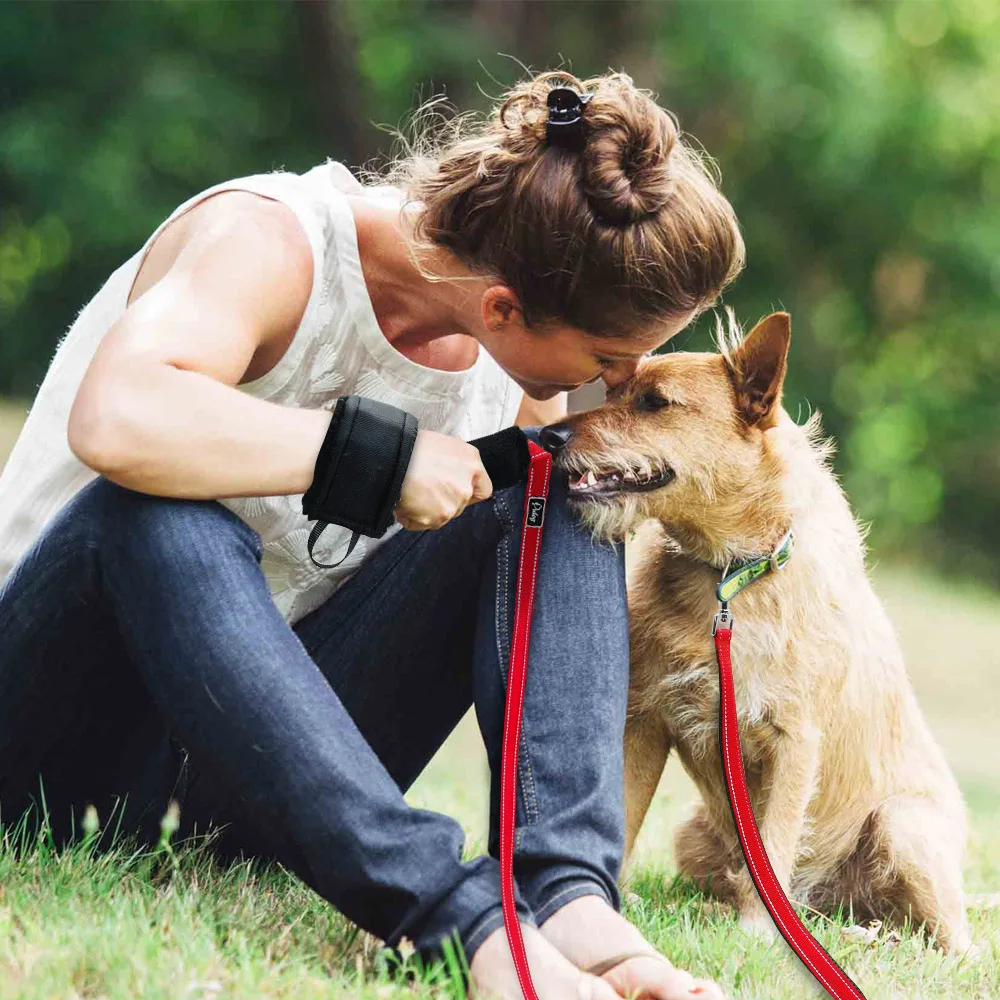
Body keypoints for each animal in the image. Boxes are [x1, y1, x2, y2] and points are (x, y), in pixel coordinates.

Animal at [544, 310, 972, 952]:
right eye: (615, 391)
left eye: (654, 402)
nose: (548, 437)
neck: (728, 578)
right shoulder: (643, 721)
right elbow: (624, 816)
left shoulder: (795, 741)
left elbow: (773, 841)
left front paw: (754, 933)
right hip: (692, 834)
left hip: (903, 828)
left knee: (955, 945)